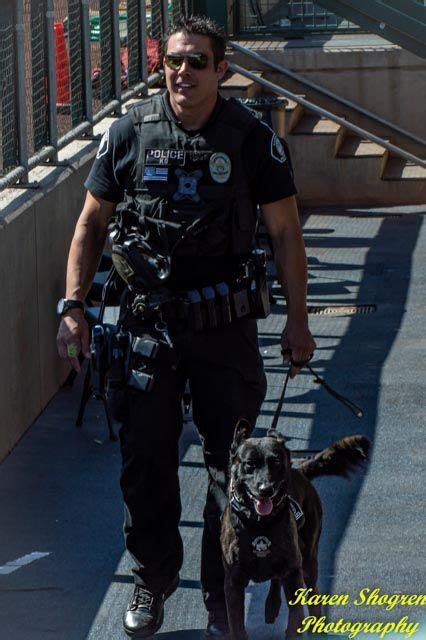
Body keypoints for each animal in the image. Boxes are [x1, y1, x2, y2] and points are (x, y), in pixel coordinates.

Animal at [220, 420, 370, 640]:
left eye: (275, 462)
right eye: (250, 464)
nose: (266, 490)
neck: (259, 525)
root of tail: (299, 471)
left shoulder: (293, 573)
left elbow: (296, 616)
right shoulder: (233, 582)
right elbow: (237, 625)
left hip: (308, 559)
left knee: (312, 591)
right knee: (276, 580)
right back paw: (272, 605)